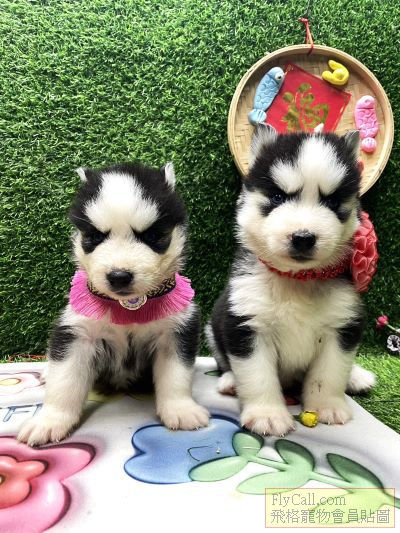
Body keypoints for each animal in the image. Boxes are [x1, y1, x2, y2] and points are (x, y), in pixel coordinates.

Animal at [18, 162, 209, 446]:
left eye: (152, 235)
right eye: (95, 236)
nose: (119, 276)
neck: (126, 306)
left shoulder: (175, 331)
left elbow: (176, 375)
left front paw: (181, 409)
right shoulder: (78, 332)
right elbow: (64, 381)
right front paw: (50, 420)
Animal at [206, 125, 375, 437]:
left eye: (332, 201)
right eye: (277, 197)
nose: (303, 237)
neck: (297, 281)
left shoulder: (342, 325)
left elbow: (329, 374)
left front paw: (327, 406)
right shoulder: (247, 324)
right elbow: (258, 376)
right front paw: (267, 415)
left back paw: (357, 377)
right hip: (214, 327)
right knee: (225, 362)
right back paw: (230, 381)